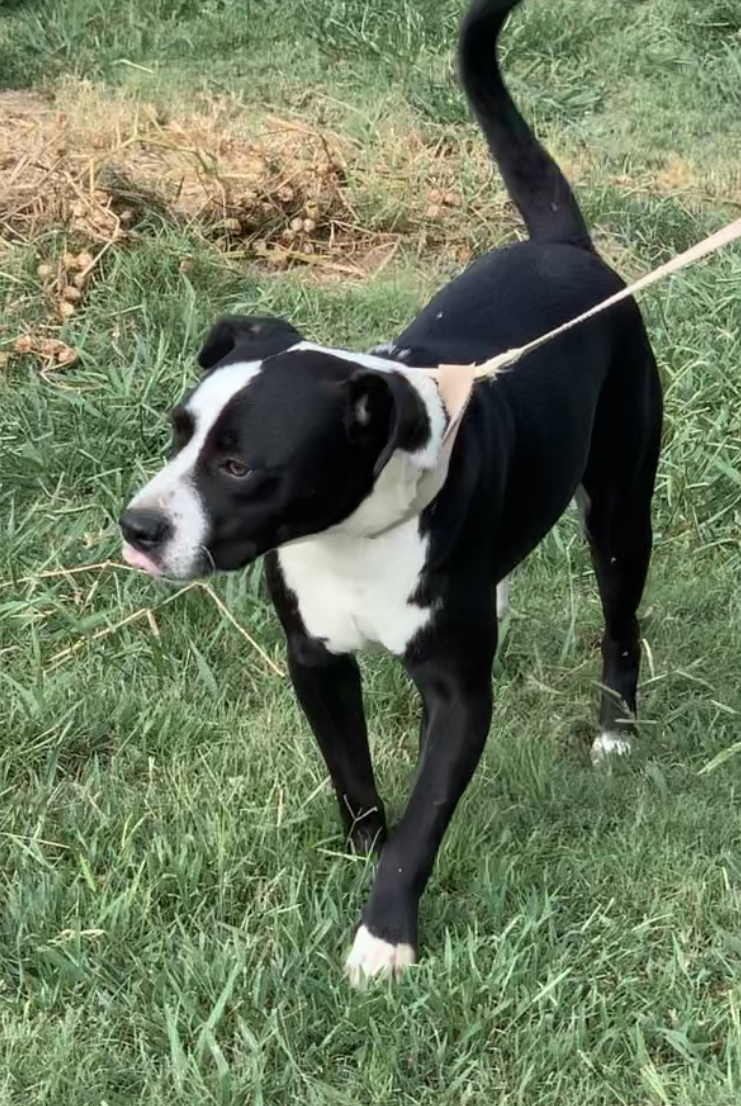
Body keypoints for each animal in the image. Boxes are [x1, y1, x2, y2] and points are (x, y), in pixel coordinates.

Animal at [118, 0, 663, 986]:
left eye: (238, 466)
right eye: (179, 432)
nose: (137, 527)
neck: (352, 534)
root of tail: (565, 247)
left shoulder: (457, 696)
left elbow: (421, 822)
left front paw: (384, 933)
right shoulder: (315, 660)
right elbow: (355, 778)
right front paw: (358, 856)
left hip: (618, 503)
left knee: (619, 615)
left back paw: (614, 727)